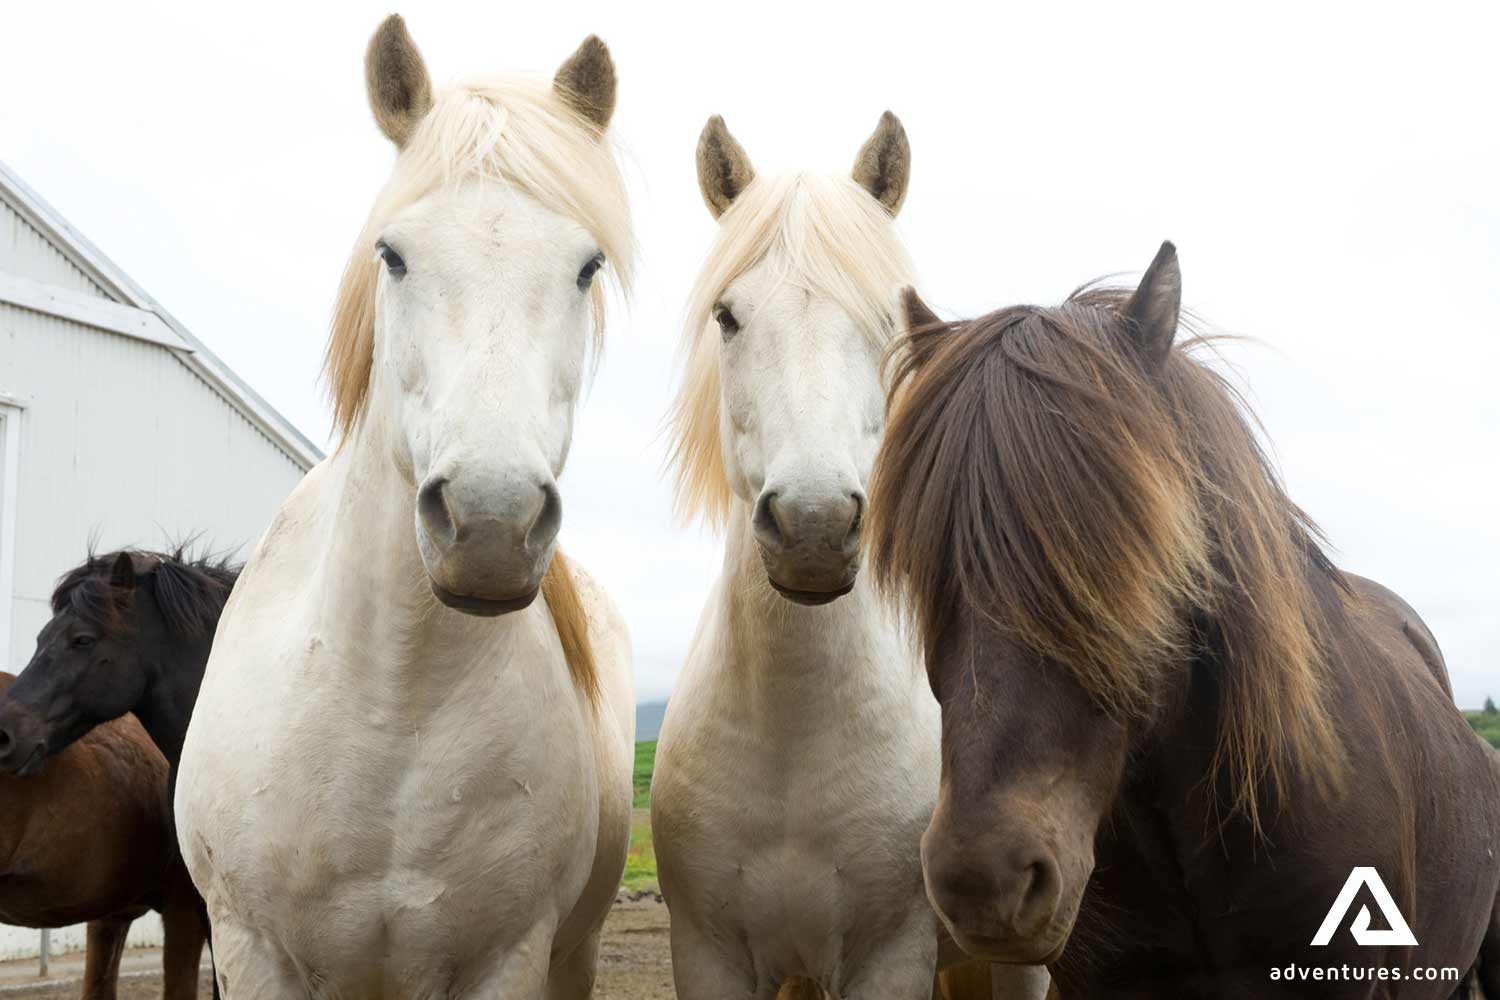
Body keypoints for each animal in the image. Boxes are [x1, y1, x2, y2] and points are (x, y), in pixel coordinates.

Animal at [173, 15, 635, 998]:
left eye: (586, 266)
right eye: (394, 255)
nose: (492, 523)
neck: (392, 712)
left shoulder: (510, 959)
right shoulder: (250, 949)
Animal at [650, 112, 1048, 1000]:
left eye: (887, 323)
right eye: (727, 316)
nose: (813, 525)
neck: (792, 739)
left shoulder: (889, 957)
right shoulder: (710, 956)